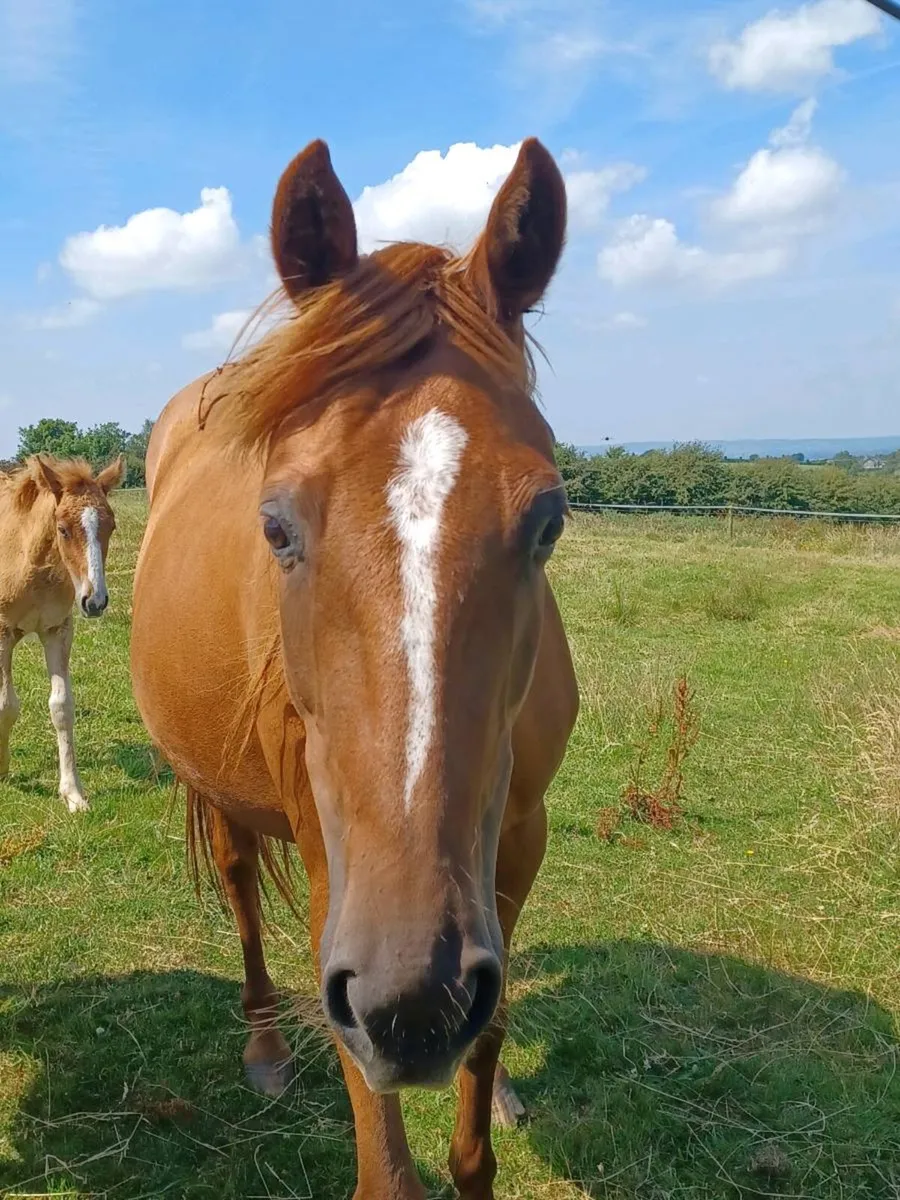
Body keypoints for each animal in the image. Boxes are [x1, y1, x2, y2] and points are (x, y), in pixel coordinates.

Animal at [0, 454, 124, 812]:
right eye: (62, 529)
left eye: (111, 526)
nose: (95, 601)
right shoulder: (3, 632)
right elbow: (6, 705)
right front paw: (2, 767)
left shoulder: (57, 630)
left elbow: (62, 707)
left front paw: (73, 793)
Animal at [130, 136, 579, 1200]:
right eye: (276, 526)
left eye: (548, 519)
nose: (414, 999)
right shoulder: (343, 896)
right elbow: (390, 1163)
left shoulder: (517, 847)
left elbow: (485, 1063)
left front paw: (490, 1103)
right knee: (241, 884)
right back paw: (264, 1047)